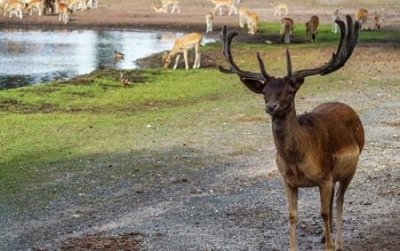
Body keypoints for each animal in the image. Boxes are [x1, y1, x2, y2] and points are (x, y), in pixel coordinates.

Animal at [220, 14, 364, 250]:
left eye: (289, 91)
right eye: (264, 93)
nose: (271, 107)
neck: (297, 161)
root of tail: (347, 107)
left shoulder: (324, 177)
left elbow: (324, 212)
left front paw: (330, 246)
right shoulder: (287, 180)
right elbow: (292, 215)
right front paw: (295, 245)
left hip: (351, 167)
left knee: (340, 201)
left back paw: (339, 242)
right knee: (334, 199)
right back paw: (325, 235)